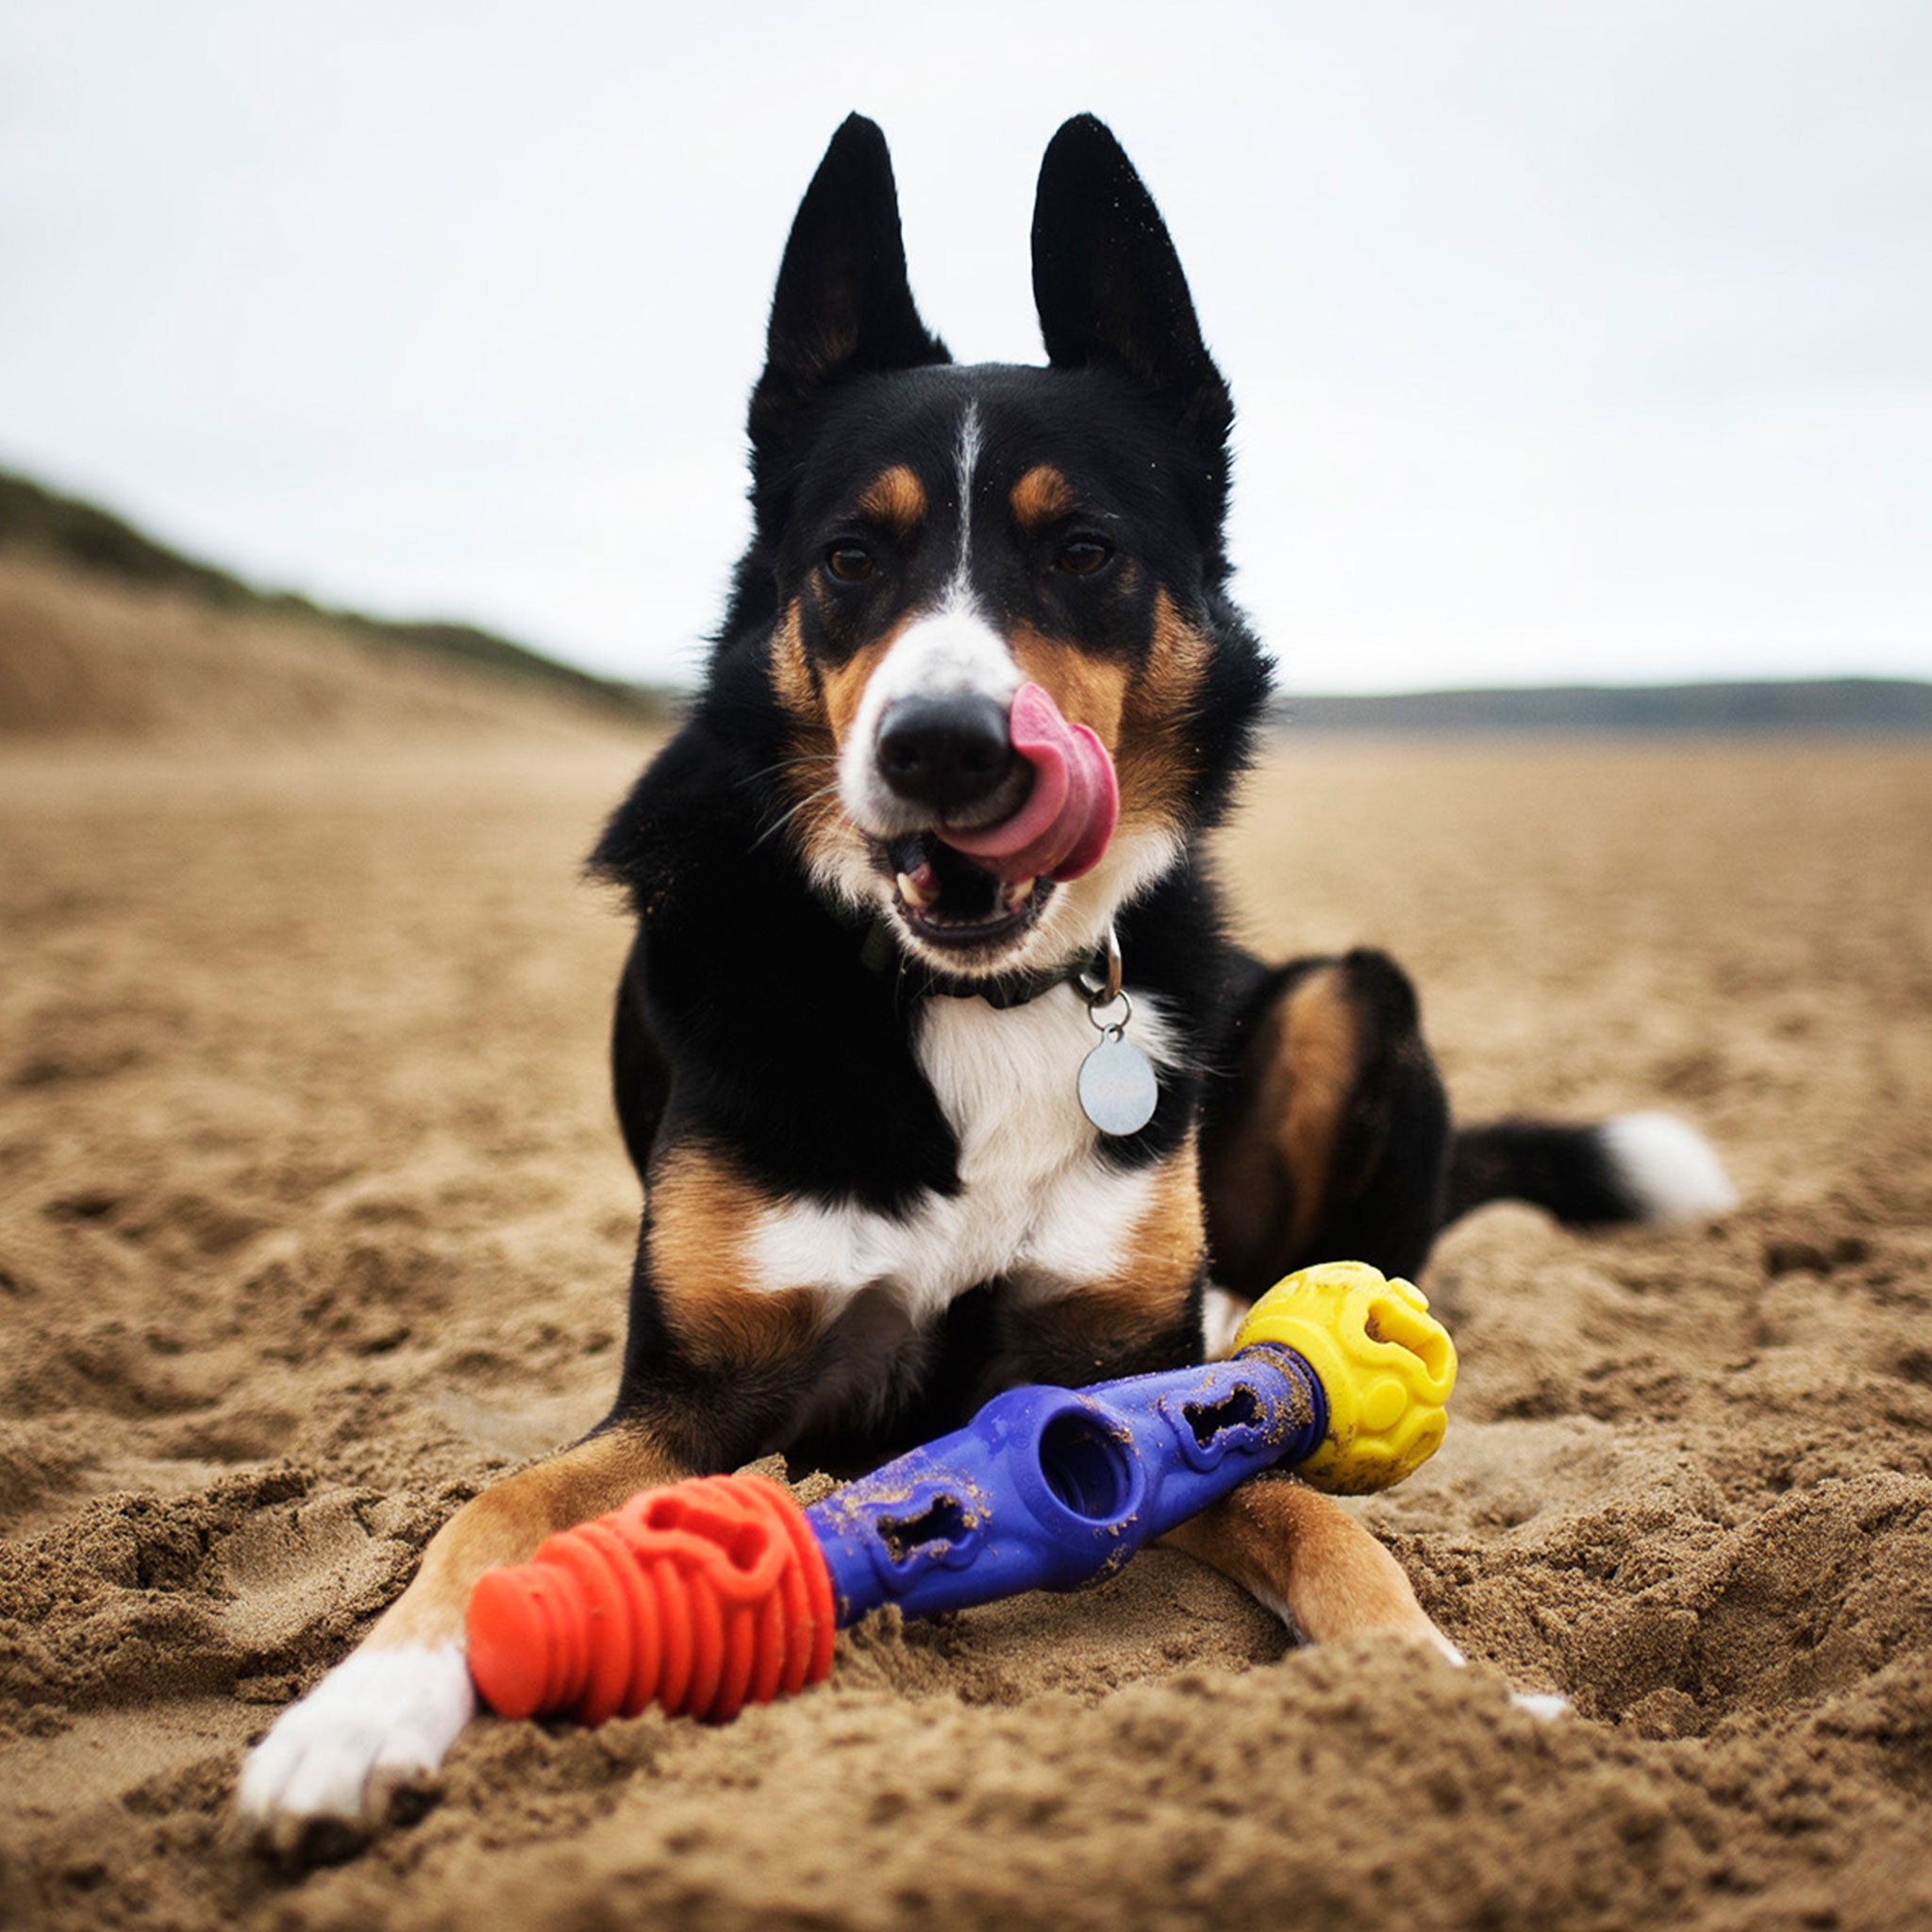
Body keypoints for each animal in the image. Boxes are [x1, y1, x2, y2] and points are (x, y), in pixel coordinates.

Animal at [242, 109, 1739, 1855]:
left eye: (1081, 549)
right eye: (848, 558)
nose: (944, 748)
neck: (979, 998)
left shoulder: (1130, 1384)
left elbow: (1320, 1518)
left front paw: (1447, 1691)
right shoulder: (696, 1395)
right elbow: (493, 1506)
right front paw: (358, 1709)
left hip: (1348, 1002)